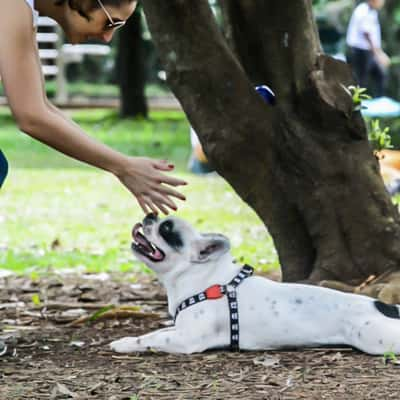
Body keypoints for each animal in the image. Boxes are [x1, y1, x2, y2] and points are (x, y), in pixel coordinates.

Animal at [109, 214, 400, 354]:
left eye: (167, 230)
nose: (150, 214)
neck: (201, 276)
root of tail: (387, 308)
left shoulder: (186, 339)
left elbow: (150, 339)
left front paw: (124, 345)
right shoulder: (178, 330)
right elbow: (155, 333)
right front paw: (126, 339)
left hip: (374, 337)